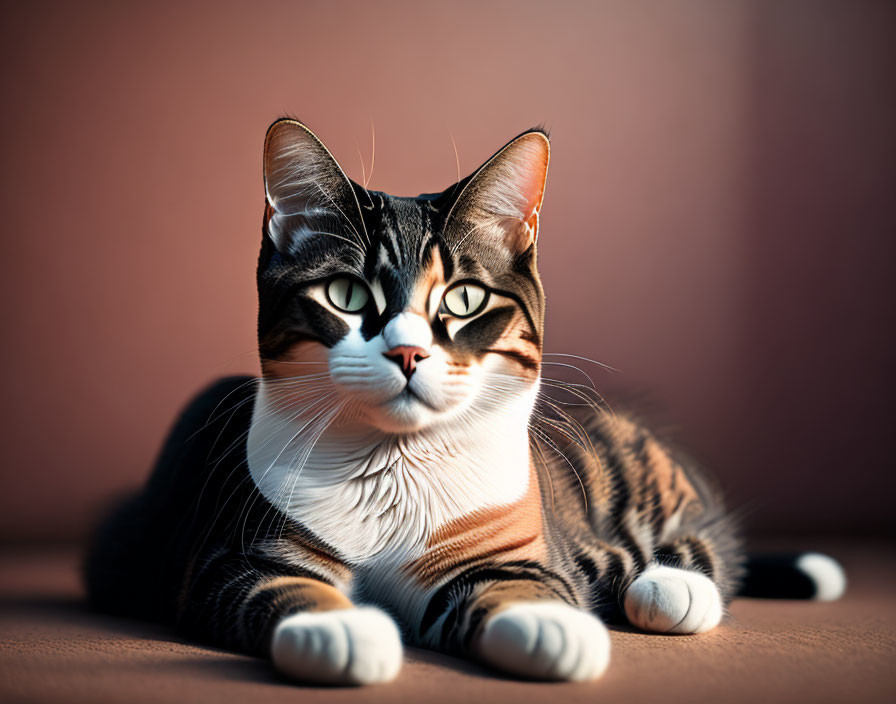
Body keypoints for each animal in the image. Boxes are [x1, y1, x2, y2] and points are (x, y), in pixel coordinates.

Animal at [86, 118, 848, 684]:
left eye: (463, 299)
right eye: (347, 295)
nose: (407, 352)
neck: (394, 469)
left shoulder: (513, 550)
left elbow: (522, 585)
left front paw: (553, 625)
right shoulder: (239, 546)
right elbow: (277, 587)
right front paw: (342, 626)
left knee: (703, 549)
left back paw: (669, 584)